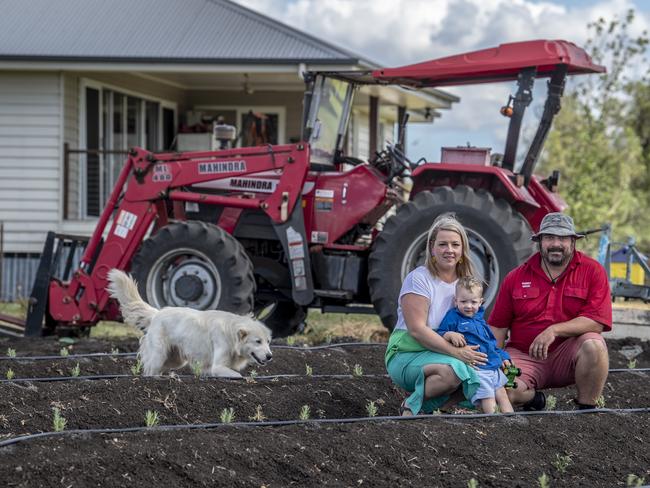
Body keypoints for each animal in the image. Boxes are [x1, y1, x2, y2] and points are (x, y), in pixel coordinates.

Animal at [105, 266, 270, 378]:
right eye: (257, 341)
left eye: (268, 342)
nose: (270, 356)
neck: (232, 334)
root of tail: (158, 312)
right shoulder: (217, 367)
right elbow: (238, 375)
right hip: (159, 354)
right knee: (150, 370)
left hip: (175, 359)